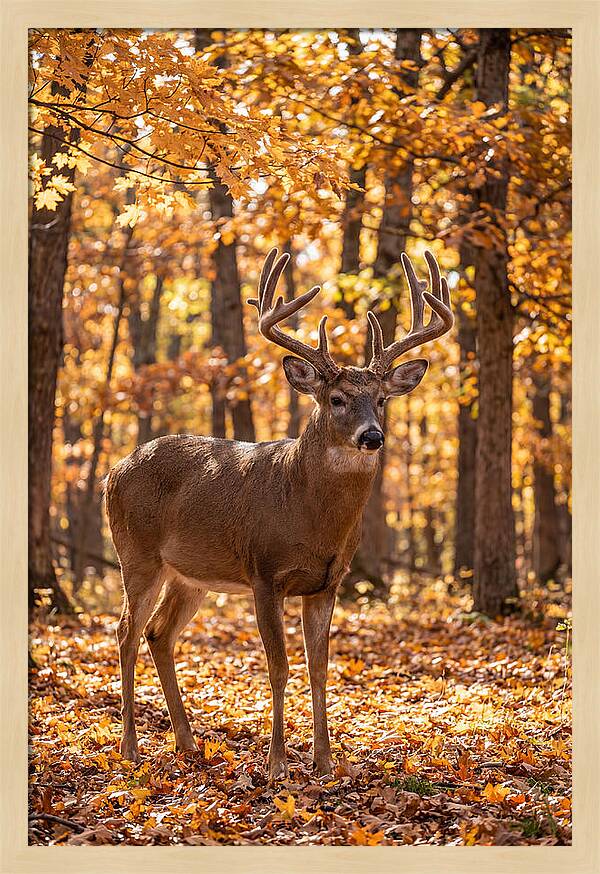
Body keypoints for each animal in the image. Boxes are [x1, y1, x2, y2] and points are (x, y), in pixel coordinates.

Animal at [105, 247, 453, 781]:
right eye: (336, 398)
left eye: (381, 400)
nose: (372, 436)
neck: (307, 514)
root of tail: (112, 471)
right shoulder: (264, 572)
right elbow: (279, 665)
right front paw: (277, 764)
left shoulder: (328, 582)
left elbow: (319, 667)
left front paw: (325, 762)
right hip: (137, 554)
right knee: (126, 632)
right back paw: (130, 749)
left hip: (191, 574)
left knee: (158, 634)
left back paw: (187, 743)